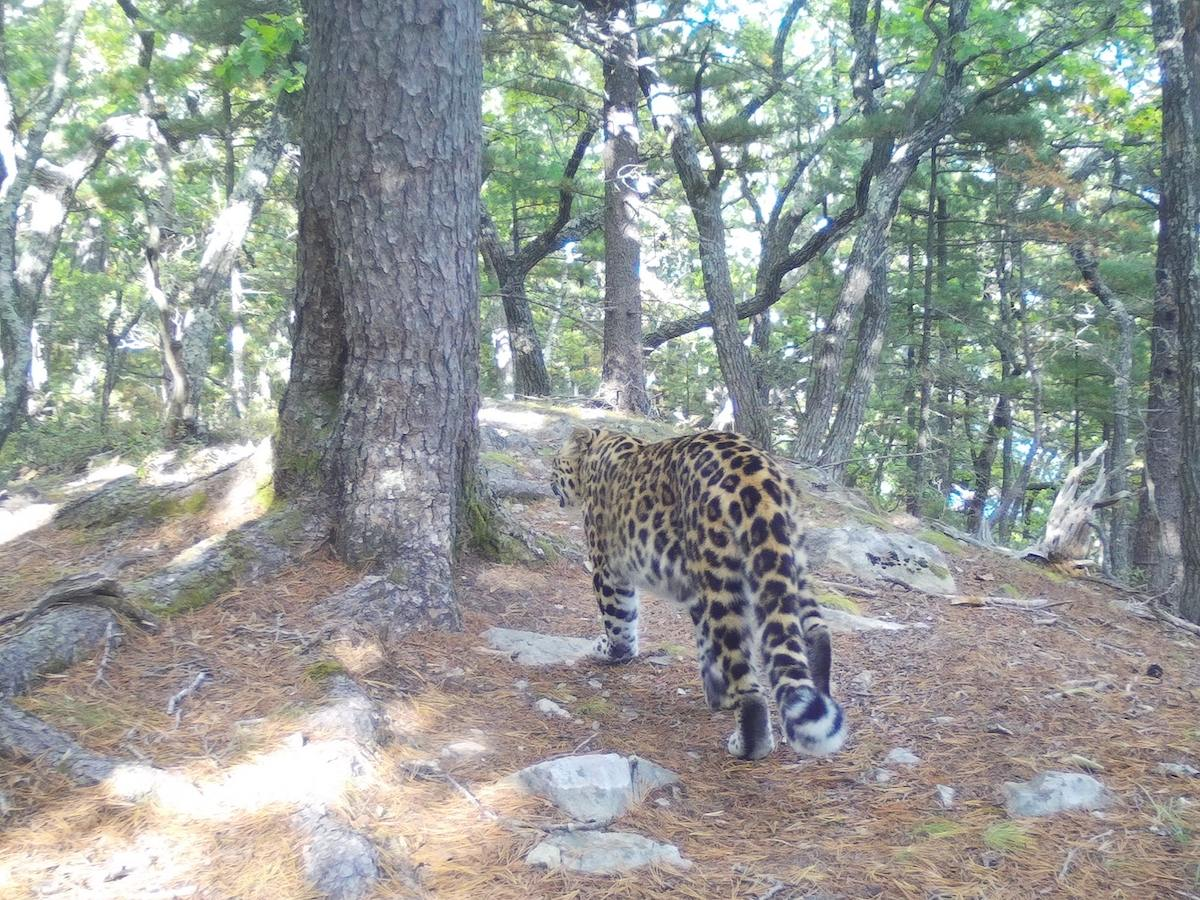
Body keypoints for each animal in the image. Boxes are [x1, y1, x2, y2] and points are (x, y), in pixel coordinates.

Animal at [552, 427, 844, 763]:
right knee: (814, 629)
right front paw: (717, 694)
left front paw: (611, 651)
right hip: (787, 560)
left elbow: (619, 620)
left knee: (747, 678)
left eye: (555, 462)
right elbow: (705, 644)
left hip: (720, 576)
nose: (549, 480)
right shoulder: (693, 589)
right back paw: (818, 693)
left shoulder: (608, 567)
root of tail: (759, 475)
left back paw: (748, 744)